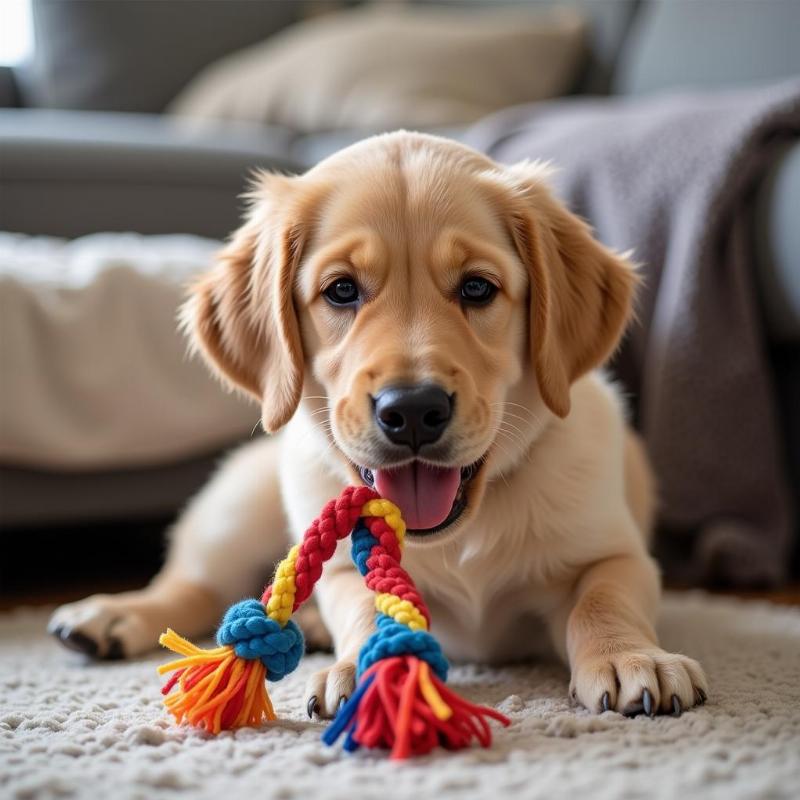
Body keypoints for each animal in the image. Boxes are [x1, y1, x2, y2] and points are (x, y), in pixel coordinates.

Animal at [50, 131, 708, 720]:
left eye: (477, 287)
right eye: (341, 290)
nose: (413, 409)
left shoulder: (616, 552)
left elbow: (603, 599)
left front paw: (631, 657)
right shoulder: (343, 567)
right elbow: (364, 605)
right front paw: (362, 664)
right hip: (239, 506)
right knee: (195, 584)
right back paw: (108, 616)